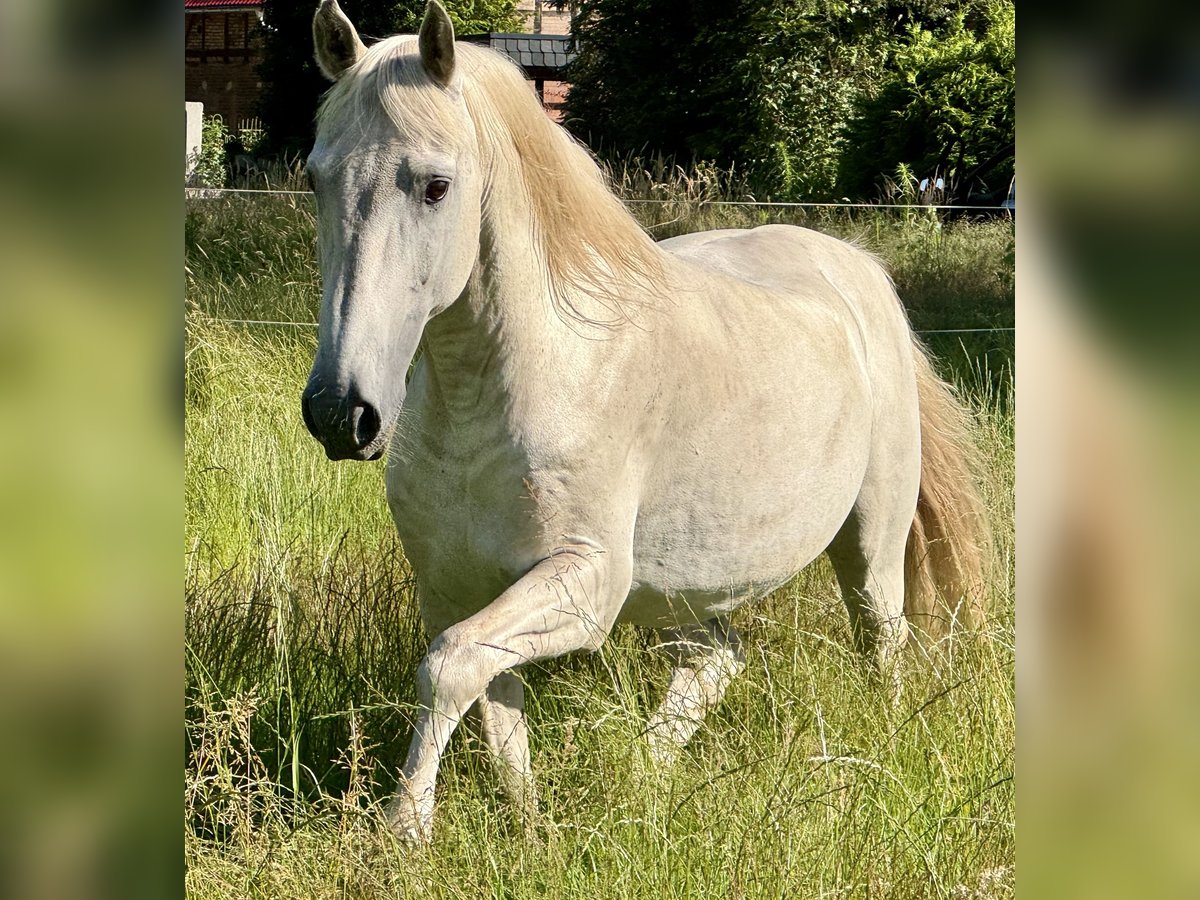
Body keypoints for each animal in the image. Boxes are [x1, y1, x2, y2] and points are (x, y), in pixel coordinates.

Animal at [300, 0, 984, 844]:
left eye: (435, 186)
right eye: (315, 177)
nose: (341, 413)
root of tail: (862, 271)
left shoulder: (586, 583)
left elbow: (448, 667)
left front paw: (406, 830)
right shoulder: (460, 586)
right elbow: (488, 700)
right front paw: (531, 834)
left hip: (871, 542)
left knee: (880, 640)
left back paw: (876, 754)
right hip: (685, 584)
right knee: (718, 659)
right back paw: (643, 779)